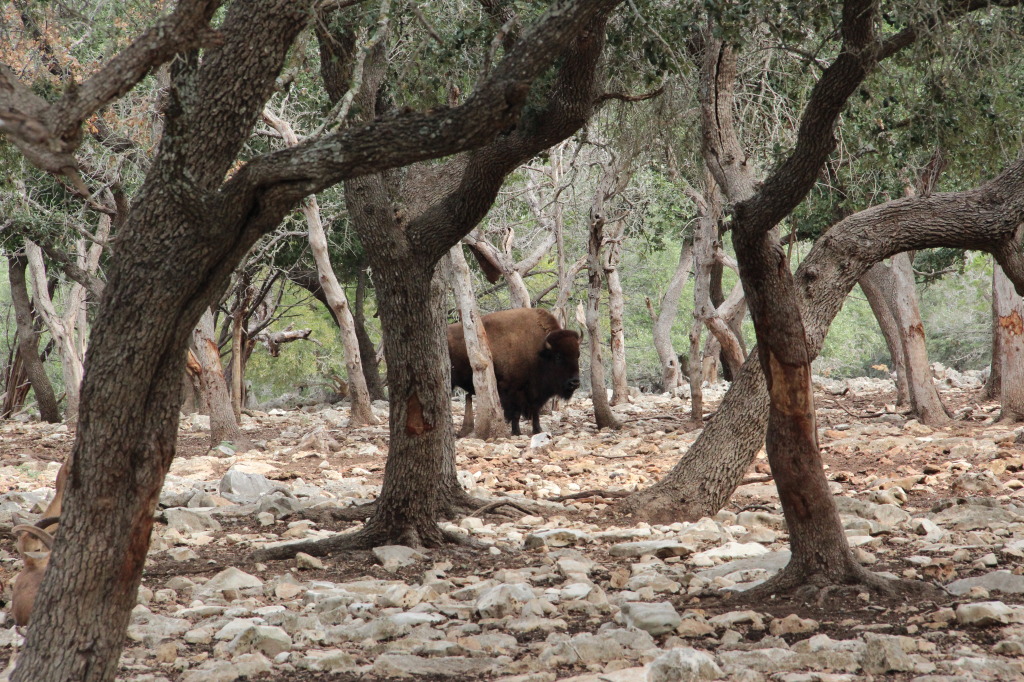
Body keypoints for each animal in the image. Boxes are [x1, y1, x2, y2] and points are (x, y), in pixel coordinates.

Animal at [446, 305, 581, 432]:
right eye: (558, 356)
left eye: (577, 355)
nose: (574, 382)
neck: (538, 350)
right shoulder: (512, 390)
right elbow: (515, 413)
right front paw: (516, 432)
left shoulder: (534, 394)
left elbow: (535, 411)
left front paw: (537, 430)